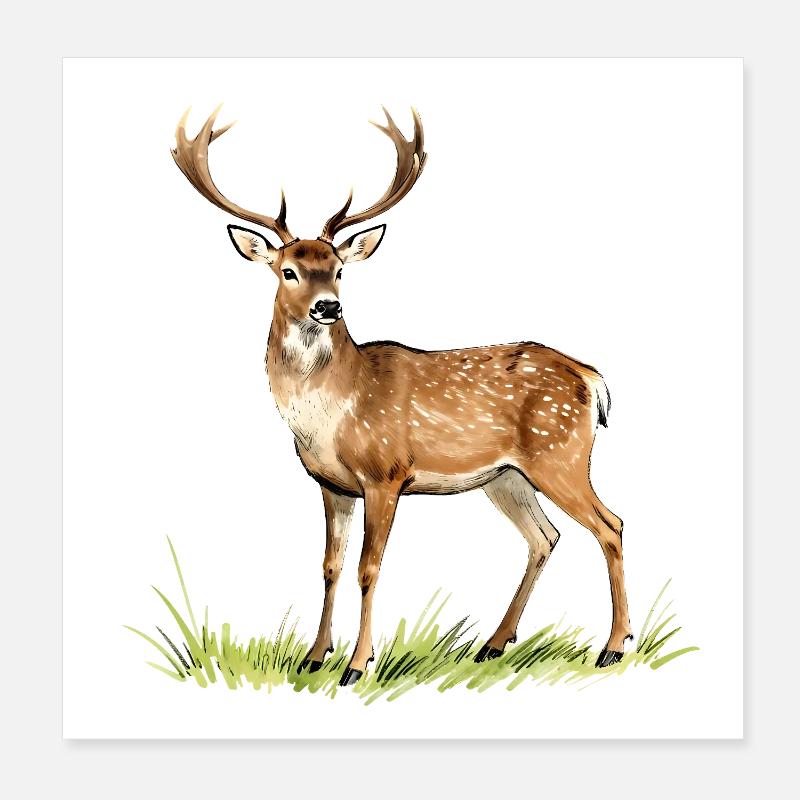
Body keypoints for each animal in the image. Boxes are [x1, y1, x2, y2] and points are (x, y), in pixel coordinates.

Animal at [171, 105, 633, 686]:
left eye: (339, 270)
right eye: (288, 270)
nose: (327, 307)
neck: (332, 413)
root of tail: (592, 379)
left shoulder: (386, 474)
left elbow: (369, 568)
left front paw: (357, 665)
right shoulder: (331, 485)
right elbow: (330, 566)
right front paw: (314, 656)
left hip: (561, 454)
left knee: (611, 526)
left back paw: (613, 647)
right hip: (506, 476)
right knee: (544, 537)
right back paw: (493, 644)